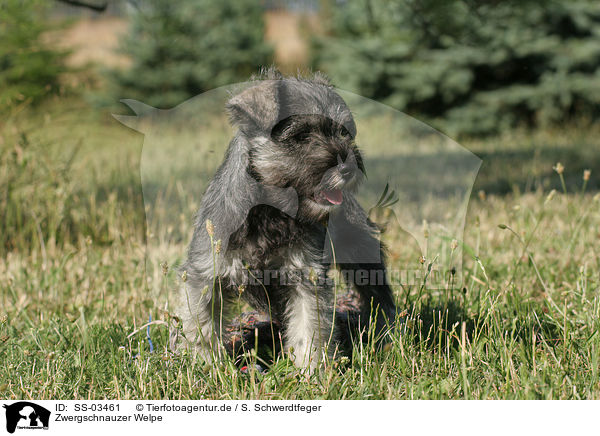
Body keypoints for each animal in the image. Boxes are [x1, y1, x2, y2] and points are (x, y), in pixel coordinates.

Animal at [171, 69, 396, 372]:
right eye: (301, 135)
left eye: (343, 131)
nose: (348, 167)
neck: (268, 213)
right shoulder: (205, 275)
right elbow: (202, 326)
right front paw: (205, 367)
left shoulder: (306, 277)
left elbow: (309, 328)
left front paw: (311, 370)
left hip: (362, 254)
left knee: (378, 295)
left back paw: (387, 335)